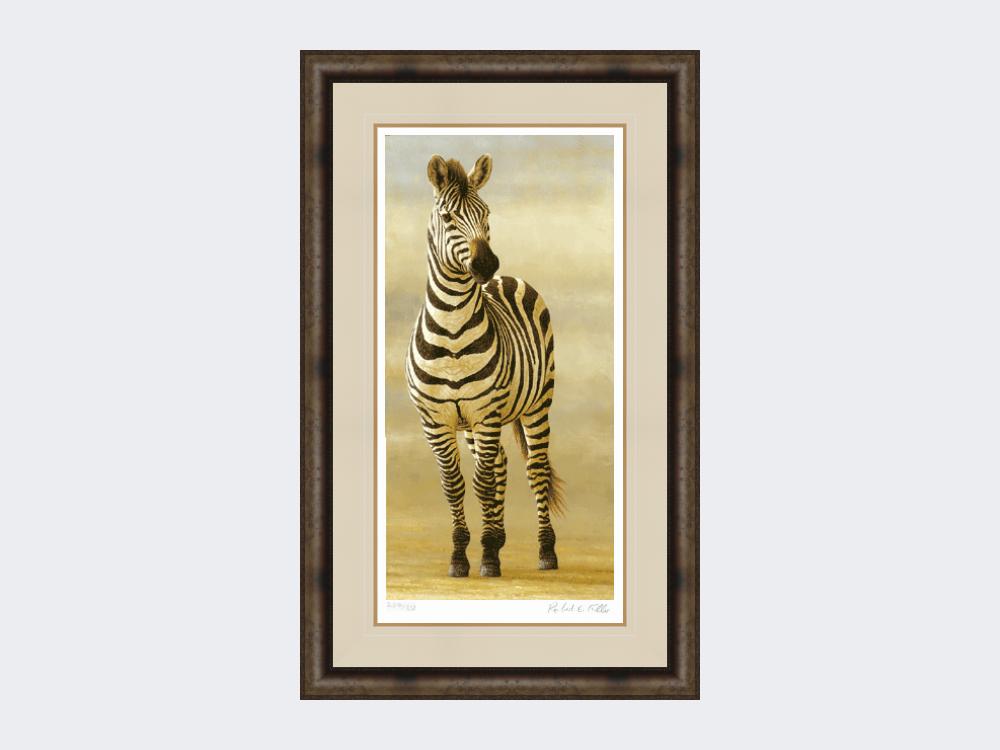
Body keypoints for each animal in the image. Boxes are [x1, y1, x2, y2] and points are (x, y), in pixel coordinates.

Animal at [404, 153, 565, 578]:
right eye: (447, 217)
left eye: (486, 213)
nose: (486, 263)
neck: (452, 330)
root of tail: (507, 279)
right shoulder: (436, 421)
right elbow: (454, 485)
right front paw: (462, 555)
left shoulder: (486, 413)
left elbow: (481, 483)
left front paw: (488, 556)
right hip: (473, 425)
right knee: (503, 465)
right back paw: (500, 536)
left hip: (537, 403)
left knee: (535, 469)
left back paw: (546, 551)